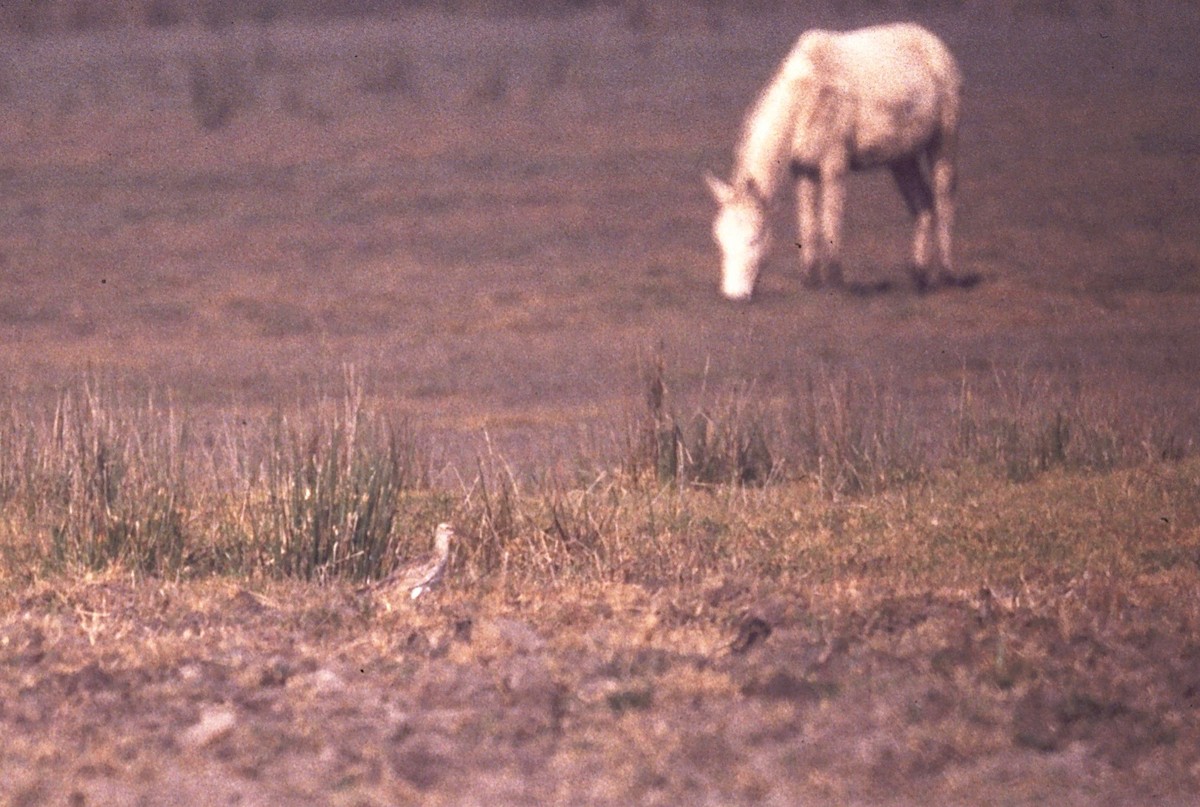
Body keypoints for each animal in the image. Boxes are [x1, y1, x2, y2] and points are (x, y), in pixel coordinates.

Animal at [705, 25, 960, 302]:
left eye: (753, 239)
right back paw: (920, 276)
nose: (733, 295)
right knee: (924, 205)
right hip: (903, 158)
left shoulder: (834, 166)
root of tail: (933, 43)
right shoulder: (803, 170)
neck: (806, 95)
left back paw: (946, 275)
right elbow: (808, 224)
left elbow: (830, 221)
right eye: (719, 239)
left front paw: (835, 281)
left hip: (942, 145)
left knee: (944, 202)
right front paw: (810, 280)